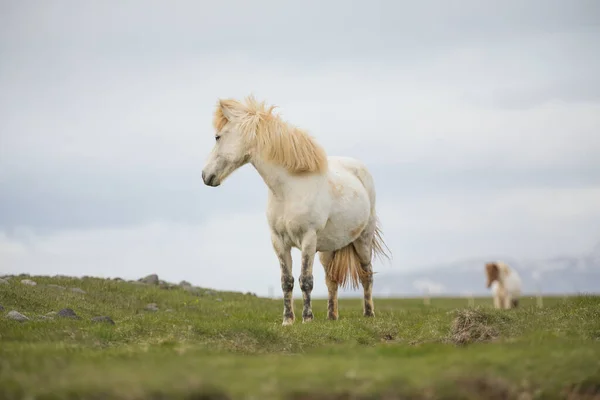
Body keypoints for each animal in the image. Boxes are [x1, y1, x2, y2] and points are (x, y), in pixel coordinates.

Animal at [199, 94, 392, 324]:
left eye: (217, 137)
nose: (205, 175)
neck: (289, 189)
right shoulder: (278, 241)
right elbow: (287, 280)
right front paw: (288, 320)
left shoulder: (308, 239)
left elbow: (306, 280)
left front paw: (307, 319)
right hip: (328, 248)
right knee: (331, 280)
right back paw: (331, 317)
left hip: (363, 239)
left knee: (366, 274)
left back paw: (369, 313)